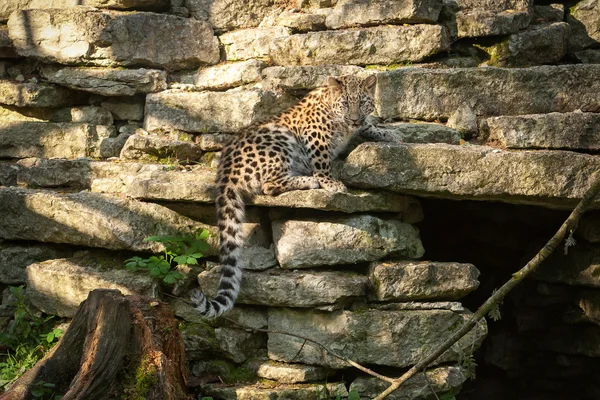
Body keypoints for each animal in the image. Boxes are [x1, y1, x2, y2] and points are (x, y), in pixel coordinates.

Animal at [190, 74, 392, 318]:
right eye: (345, 103)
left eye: (362, 102)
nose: (353, 119)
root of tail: (224, 172)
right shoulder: (315, 136)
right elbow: (323, 162)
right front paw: (330, 183)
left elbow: (367, 124)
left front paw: (386, 132)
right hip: (279, 137)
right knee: (269, 185)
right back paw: (309, 180)